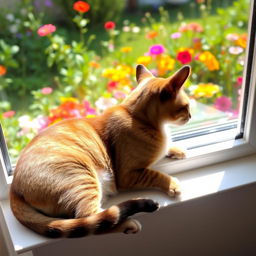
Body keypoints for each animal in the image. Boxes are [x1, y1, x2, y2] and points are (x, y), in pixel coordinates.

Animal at [9, 64, 190, 238]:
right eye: (186, 106)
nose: (190, 116)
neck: (134, 115)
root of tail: (13, 188)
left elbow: (168, 147)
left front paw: (178, 150)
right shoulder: (128, 174)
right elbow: (156, 175)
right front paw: (173, 185)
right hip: (82, 178)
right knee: (95, 220)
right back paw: (128, 223)